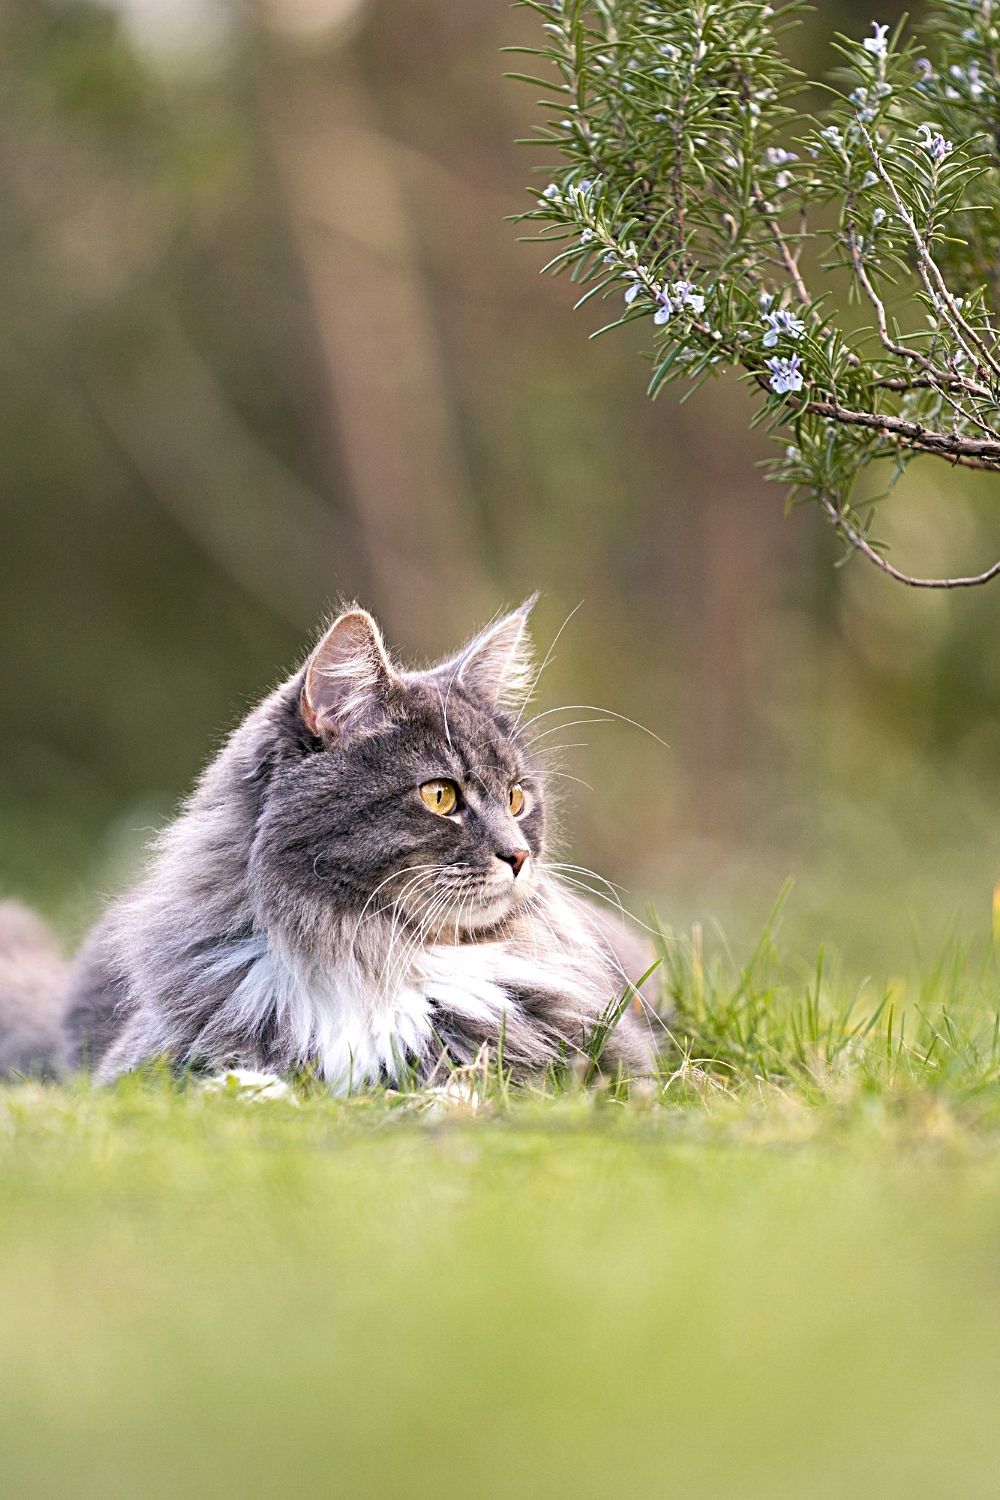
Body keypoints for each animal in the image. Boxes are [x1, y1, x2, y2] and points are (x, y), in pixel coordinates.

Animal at [0, 600, 659, 1092]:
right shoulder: (142, 1065)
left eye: (518, 798)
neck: (370, 952)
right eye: (441, 795)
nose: (519, 856)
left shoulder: (607, 1058)